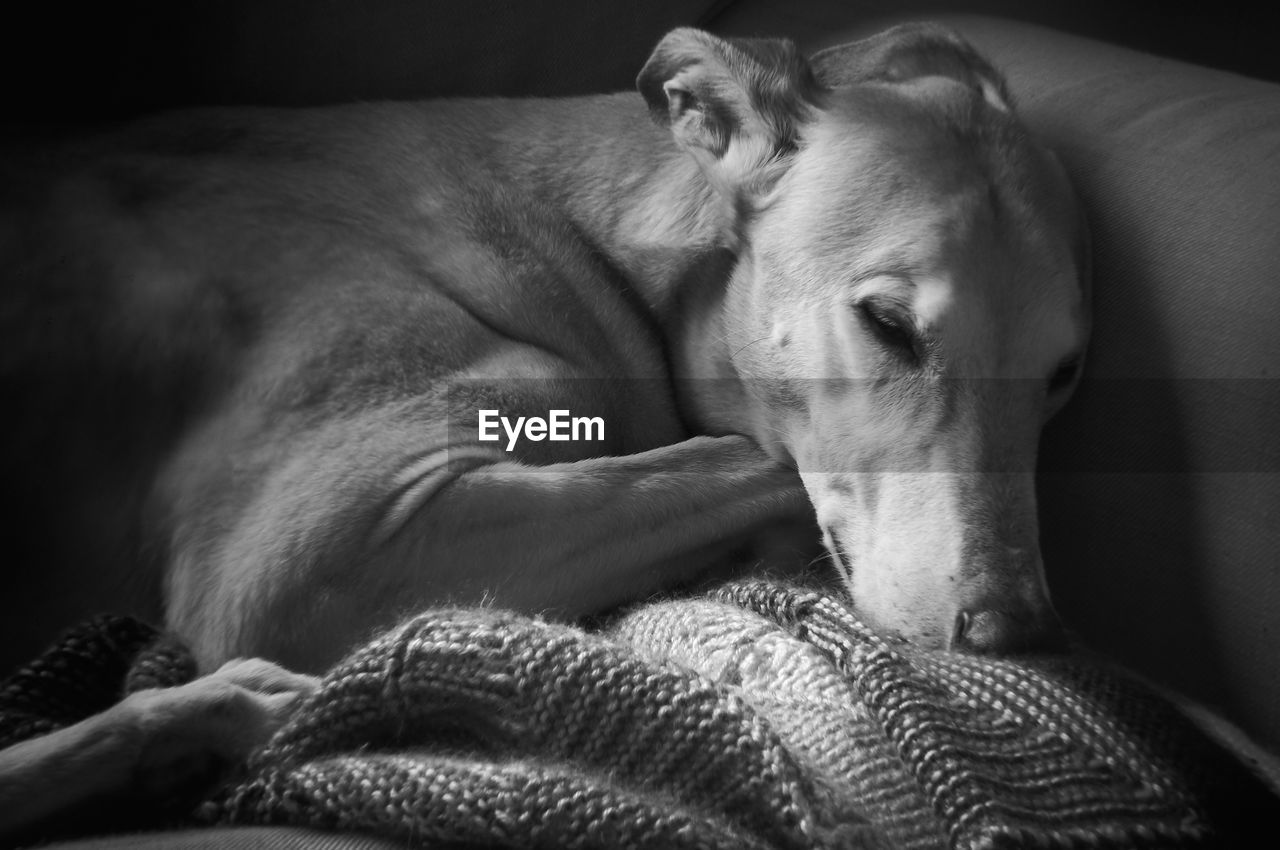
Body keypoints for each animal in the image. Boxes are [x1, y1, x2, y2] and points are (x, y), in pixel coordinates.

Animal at [0, 23, 1090, 834]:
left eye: (1065, 374)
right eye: (884, 323)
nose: (1018, 636)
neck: (590, 243)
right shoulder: (303, 559)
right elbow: (739, 458)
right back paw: (192, 718)